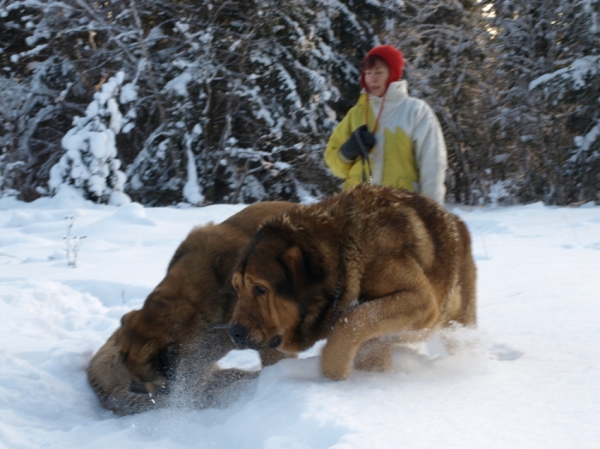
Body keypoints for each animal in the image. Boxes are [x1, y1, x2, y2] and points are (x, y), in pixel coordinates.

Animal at [227, 184, 476, 380]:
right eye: (237, 288)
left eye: (260, 289)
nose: (234, 332)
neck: (342, 252)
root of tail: (457, 221)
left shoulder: (420, 299)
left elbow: (352, 320)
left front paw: (334, 375)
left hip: (457, 318)